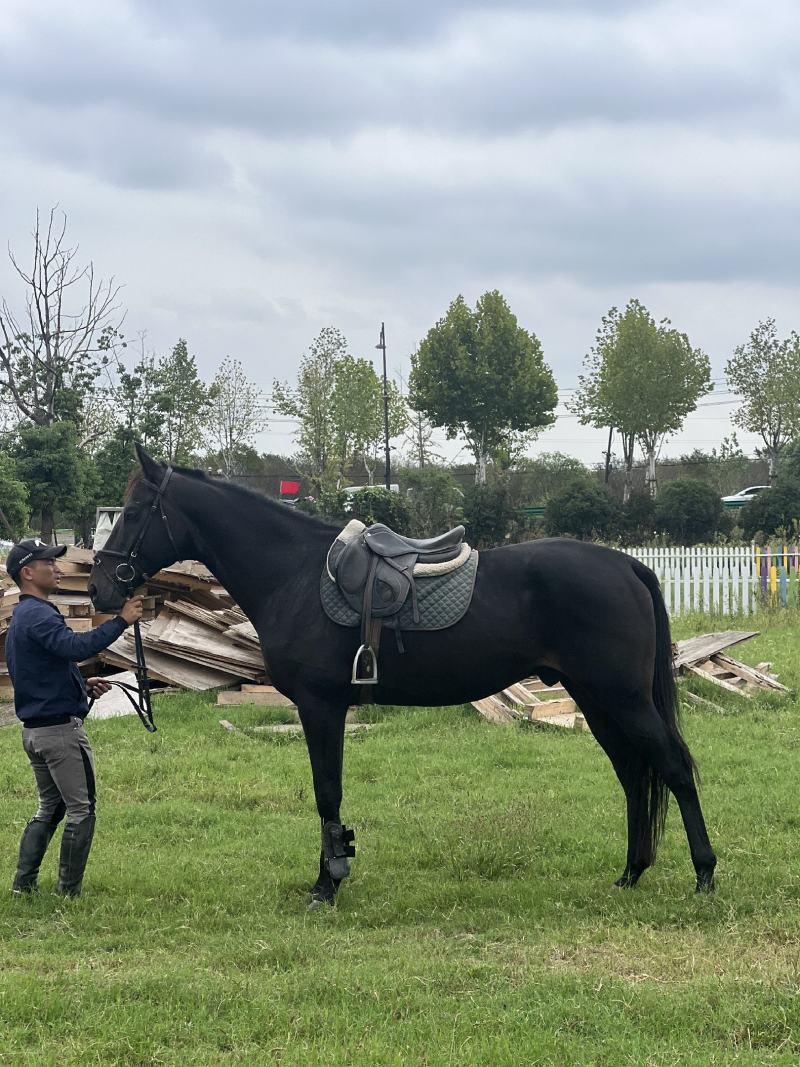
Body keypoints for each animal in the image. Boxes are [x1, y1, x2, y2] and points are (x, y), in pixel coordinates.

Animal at [88, 445, 716, 905]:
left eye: (136, 513)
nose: (98, 588)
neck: (292, 574)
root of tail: (627, 565)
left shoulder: (319, 706)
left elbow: (327, 791)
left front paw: (328, 882)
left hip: (623, 698)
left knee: (673, 767)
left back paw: (705, 874)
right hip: (597, 699)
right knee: (634, 776)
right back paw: (631, 873)